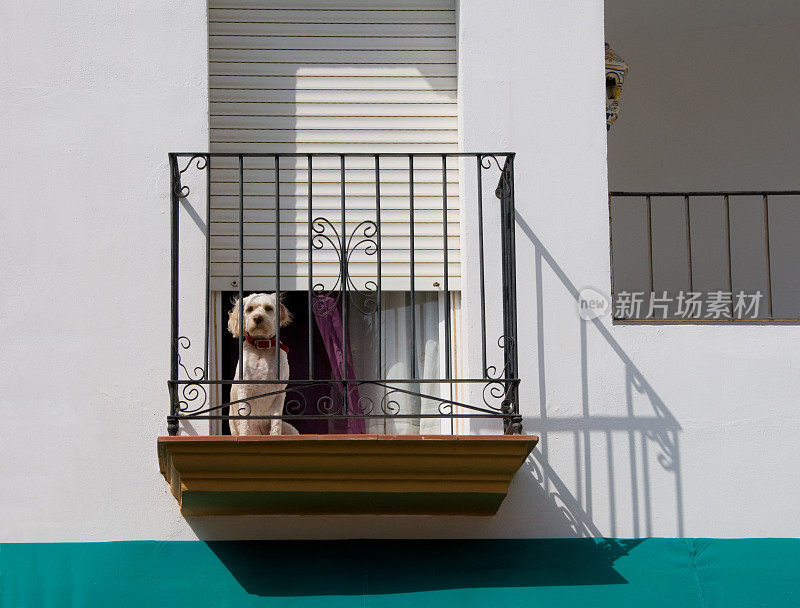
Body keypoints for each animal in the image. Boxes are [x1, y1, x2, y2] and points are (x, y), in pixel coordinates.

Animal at [227, 292, 298, 434]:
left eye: (268, 308)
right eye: (250, 309)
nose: (257, 318)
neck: (262, 347)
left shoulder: (279, 392)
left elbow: (276, 422)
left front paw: (275, 435)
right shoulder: (244, 389)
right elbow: (244, 422)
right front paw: (244, 435)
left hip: (291, 429)